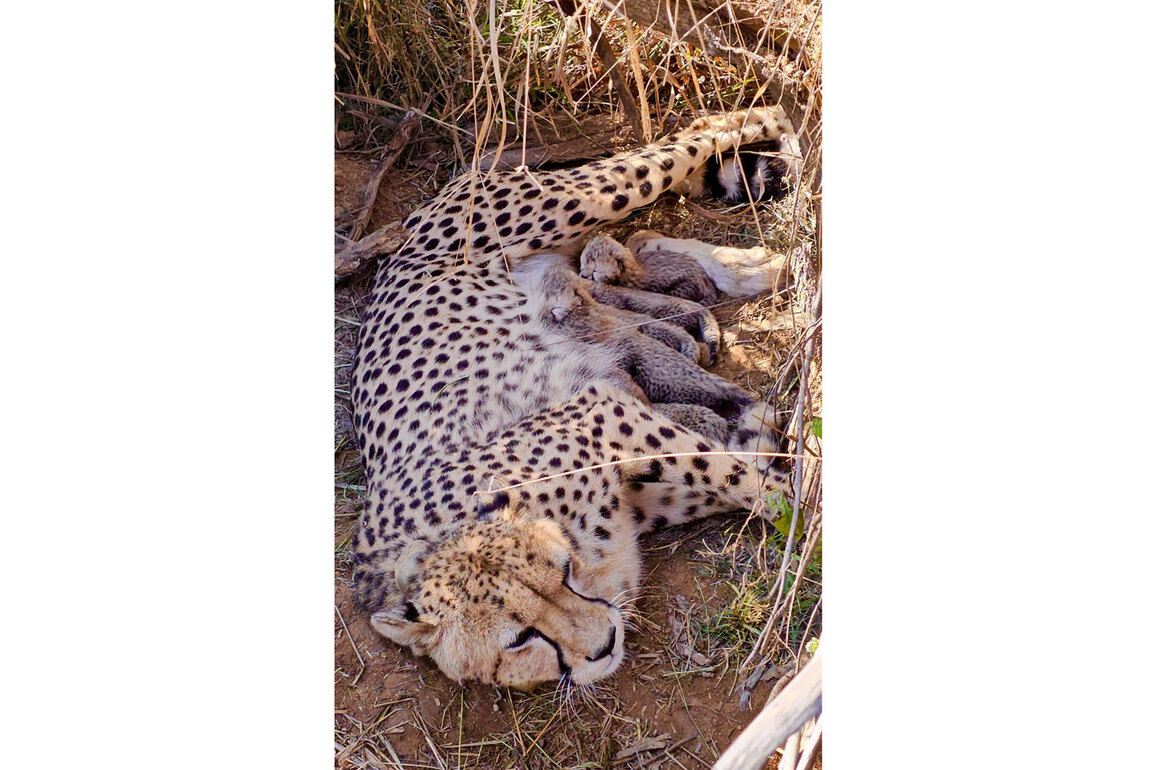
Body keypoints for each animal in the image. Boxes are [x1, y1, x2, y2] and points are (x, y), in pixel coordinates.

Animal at [350, 107, 797, 690]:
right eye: (519, 639)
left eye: (562, 572)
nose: (604, 644)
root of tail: (411, 224)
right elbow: (735, 470)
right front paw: (758, 440)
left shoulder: (605, 415)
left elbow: (742, 477)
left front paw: (808, 510)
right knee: (647, 235)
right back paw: (750, 268)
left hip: (582, 197)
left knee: (707, 131)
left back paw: (777, 137)